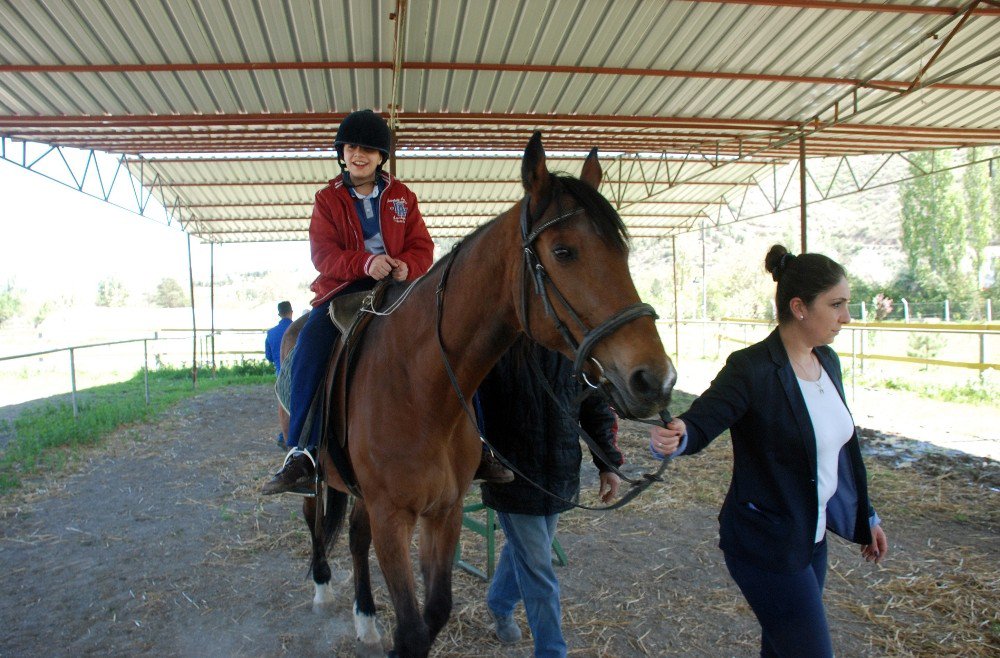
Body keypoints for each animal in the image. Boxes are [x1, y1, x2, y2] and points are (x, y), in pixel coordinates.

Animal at [278, 131, 676, 652]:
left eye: (623, 252)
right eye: (563, 251)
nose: (655, 380)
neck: (418, 391)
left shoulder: (442, 513)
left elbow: (435, 612)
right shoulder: (393, 517)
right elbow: (411, 629)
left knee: (356, 536)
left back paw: (365, 615)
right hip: (317, 471)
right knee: (313, 514)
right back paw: (323, 583)